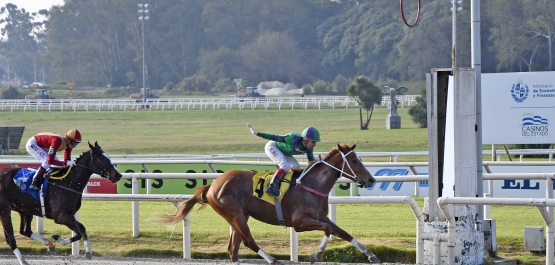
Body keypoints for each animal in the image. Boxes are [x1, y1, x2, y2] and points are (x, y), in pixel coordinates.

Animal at [167, 143, 380, 264]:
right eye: (354, 160)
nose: (371, 180)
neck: (311, 185)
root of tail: (213, 185)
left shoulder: (321, 217)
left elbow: (343, 233)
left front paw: (371, 255)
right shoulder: (299, 222)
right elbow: (328, 230)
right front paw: (315, 255)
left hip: (238, 217)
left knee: (233, 249)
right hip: (236, 214)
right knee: (248, 242)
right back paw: (275, 261)